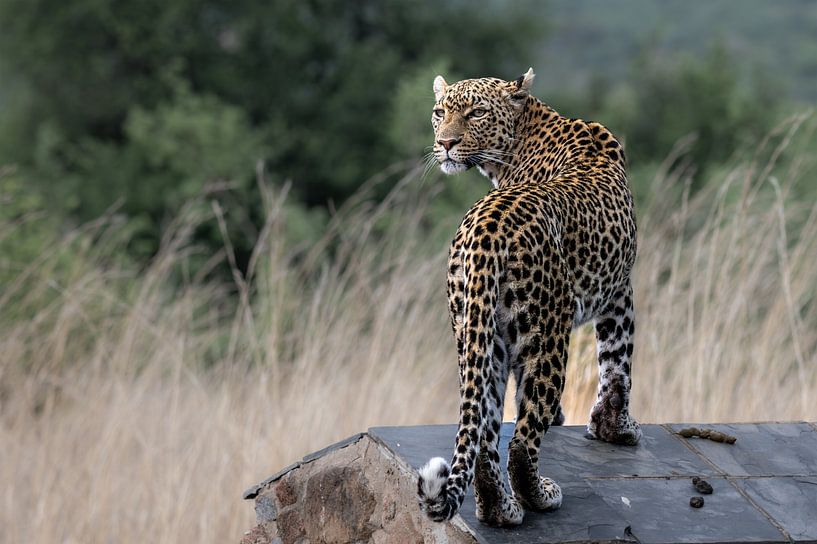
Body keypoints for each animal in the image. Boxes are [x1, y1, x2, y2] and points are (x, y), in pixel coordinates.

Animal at [417, 68, 641, 527]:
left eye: (477, 112)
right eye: (440, 112)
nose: (445, 143)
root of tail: (486, 231)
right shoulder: (619, 289)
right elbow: (618, 360)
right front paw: (616, 429)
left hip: (476, 333)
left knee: (484, 436)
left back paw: (500, 509)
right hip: (546, 329)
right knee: (521, 441)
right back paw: (540, 496)